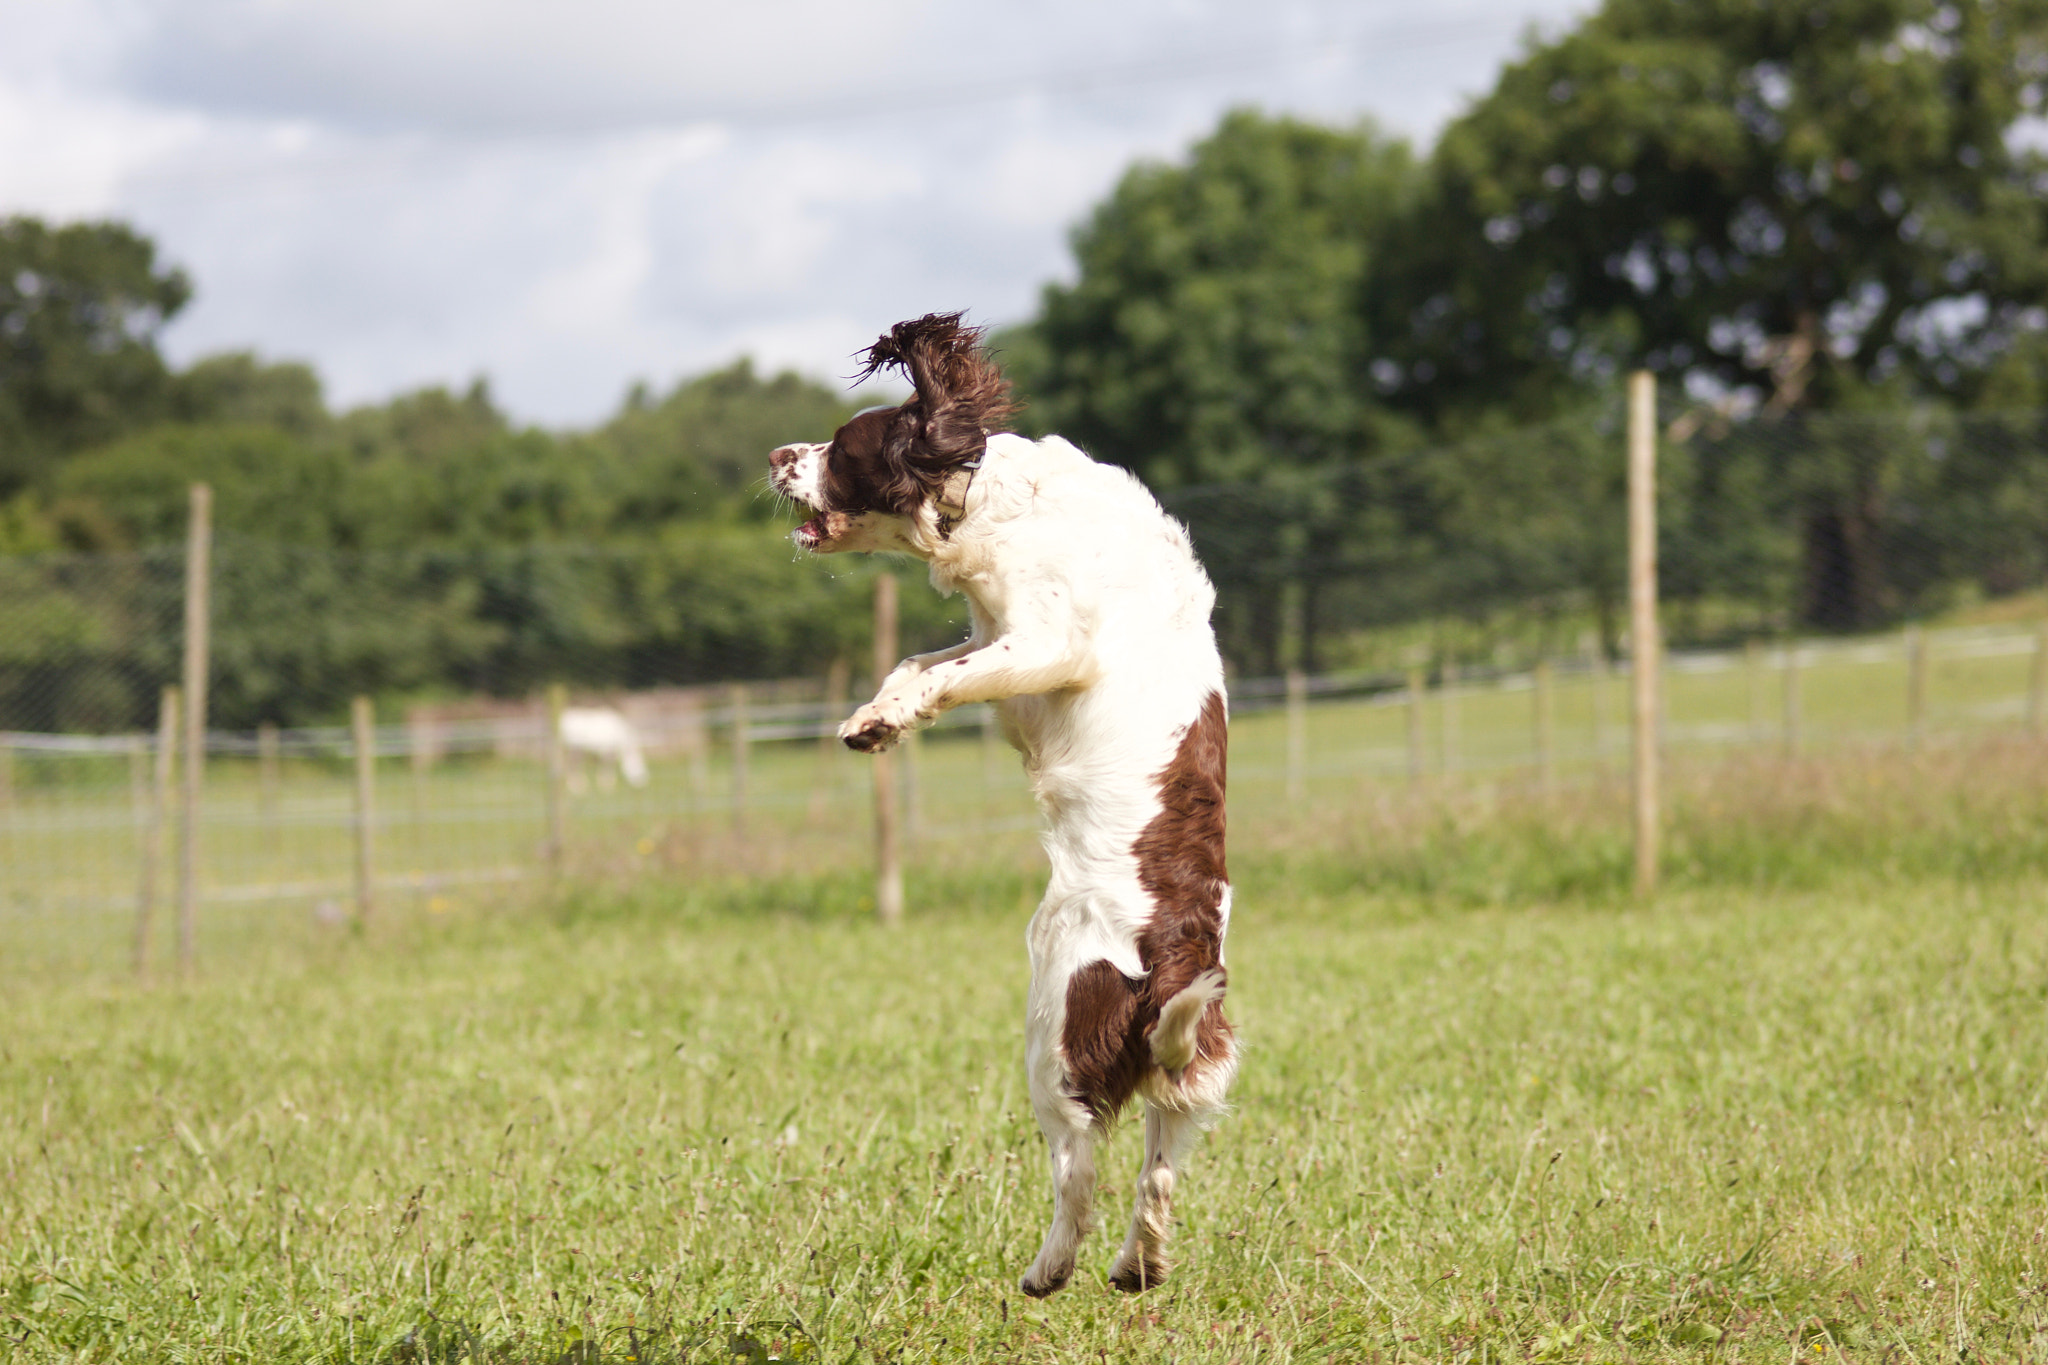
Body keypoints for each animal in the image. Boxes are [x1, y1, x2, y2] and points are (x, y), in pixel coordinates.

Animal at [770, 315, 1228, 1301]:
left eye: (843, 446)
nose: (778, 454)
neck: (981, 489)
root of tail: (1174, 960)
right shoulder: (992, 629)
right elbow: (919, 660)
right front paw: (873, 718)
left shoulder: (1046, 639)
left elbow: (944, 675)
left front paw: (881, 720)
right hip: (1185, 1063)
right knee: (1159, 1163)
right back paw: (1138, 1264)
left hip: (1052, 1025)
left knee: (1079, 1163)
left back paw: (1048, 1269)